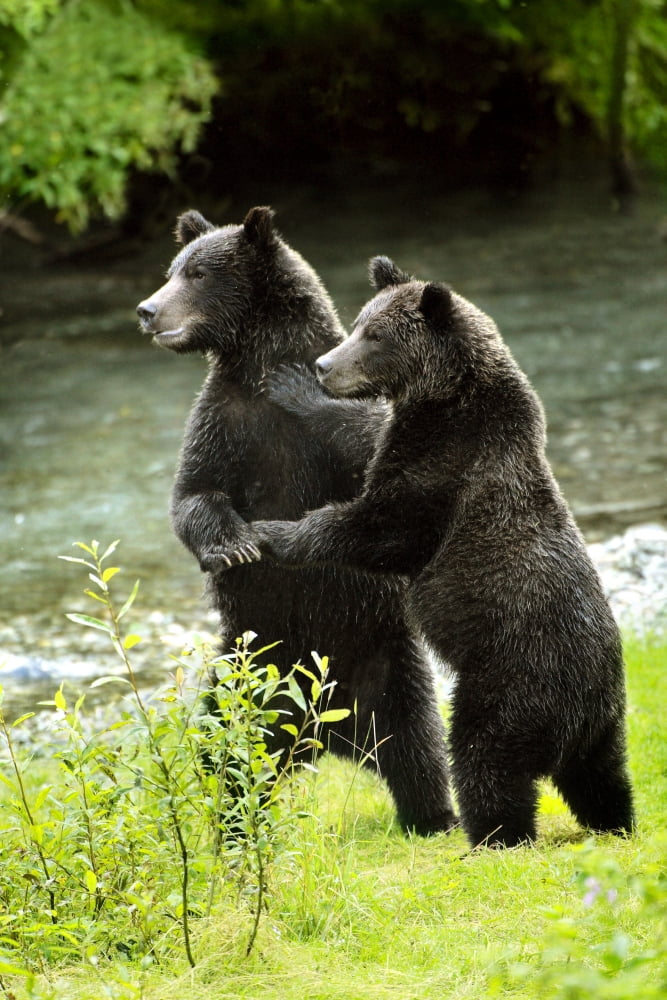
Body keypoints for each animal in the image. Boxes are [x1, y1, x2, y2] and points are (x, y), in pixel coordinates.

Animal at [136, 211, 458, 836]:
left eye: (197, 274)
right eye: (172, 268)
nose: (147, 309)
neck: (258, 362)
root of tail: (321, 732)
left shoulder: (337, 421)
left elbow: (376, 478)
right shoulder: (225, 419)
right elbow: (195, 492)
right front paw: (235, 547)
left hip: (385, 659)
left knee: (416, 741)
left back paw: (434, 815)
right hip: (243, 673)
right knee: (225, 750)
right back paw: (231, 823)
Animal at [235, 254, 635, 849]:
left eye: (374, 335)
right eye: (358, 322)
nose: (326, 365)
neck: (449, 399)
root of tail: (581, 713)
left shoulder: (446, 469)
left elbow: (379, 526)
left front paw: (272, 532)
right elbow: (365, 447)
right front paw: (294, 386)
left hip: (510, 681)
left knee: (484, 757)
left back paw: (493, 835)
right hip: (603, 724)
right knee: (604, 777)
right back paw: (615, 822)